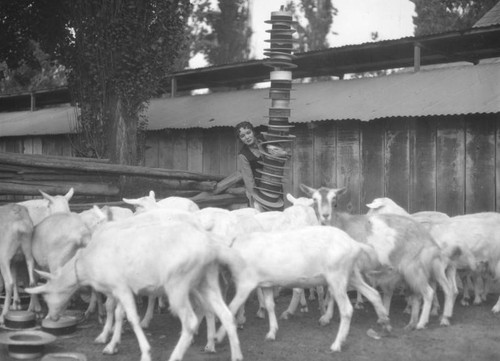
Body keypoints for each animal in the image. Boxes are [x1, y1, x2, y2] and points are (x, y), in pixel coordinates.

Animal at [24, 219, 242, 360]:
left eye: (46, 294)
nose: (52, 317)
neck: (87, 265)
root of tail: (211, 248)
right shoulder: (122, 289)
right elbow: (119, 314)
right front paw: (111, 344)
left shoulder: (119, 286)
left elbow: (131, 318)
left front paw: (144, 352)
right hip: (206, 280)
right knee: (224, 313)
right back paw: (232, 353)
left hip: (178, 284)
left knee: (190, 321)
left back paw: (180, 353)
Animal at [215, 225, 390, 352]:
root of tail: (355, 244)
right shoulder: (266, 284)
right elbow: (270, 306)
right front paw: (271, 333)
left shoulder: (246, 283)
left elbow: (231, 307)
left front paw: (217, 338)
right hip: (351, 274)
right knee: (373, 294)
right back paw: (385, 324)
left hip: (337, 276)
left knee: (347, 309)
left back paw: (337, 344)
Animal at [298, 184, 458, 328]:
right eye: (314, 199)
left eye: (334, 200)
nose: (325, 215)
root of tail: (427, 237)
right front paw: (327, 316)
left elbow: (332, 292)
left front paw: (326, 317)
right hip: (432, 267)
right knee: (446, 288)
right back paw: (443, 317)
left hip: (413, 268)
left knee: (429, 292)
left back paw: (421, 322)